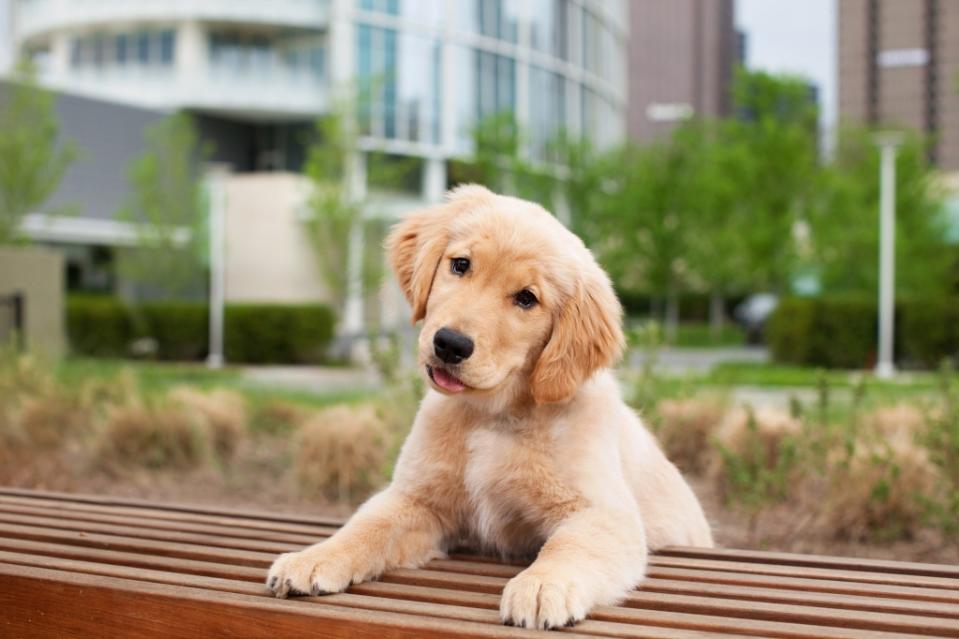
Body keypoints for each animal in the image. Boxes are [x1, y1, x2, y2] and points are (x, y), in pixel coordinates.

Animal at [266, 184, 716, 632]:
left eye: (526, 299)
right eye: (460, 265)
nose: (450, 344)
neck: (491, 414)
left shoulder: (603, 513)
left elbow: (569, 545)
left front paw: (541, 585)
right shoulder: (417, 499)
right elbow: (366, 524)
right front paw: (314, 557)